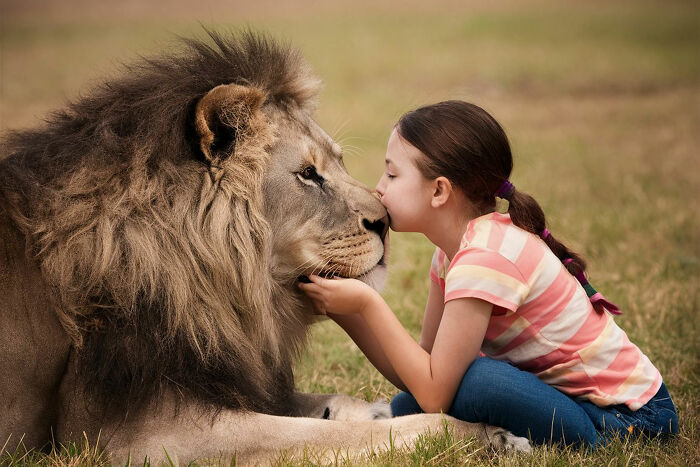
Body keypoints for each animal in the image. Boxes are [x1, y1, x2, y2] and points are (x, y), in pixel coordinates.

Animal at [0, 31, 529, 463]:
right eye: (308, 174)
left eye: (338, 162)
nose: (385, 223)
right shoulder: (141, 436)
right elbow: (341, 436)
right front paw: (482, 434)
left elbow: (337, 409)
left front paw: (374, 410)